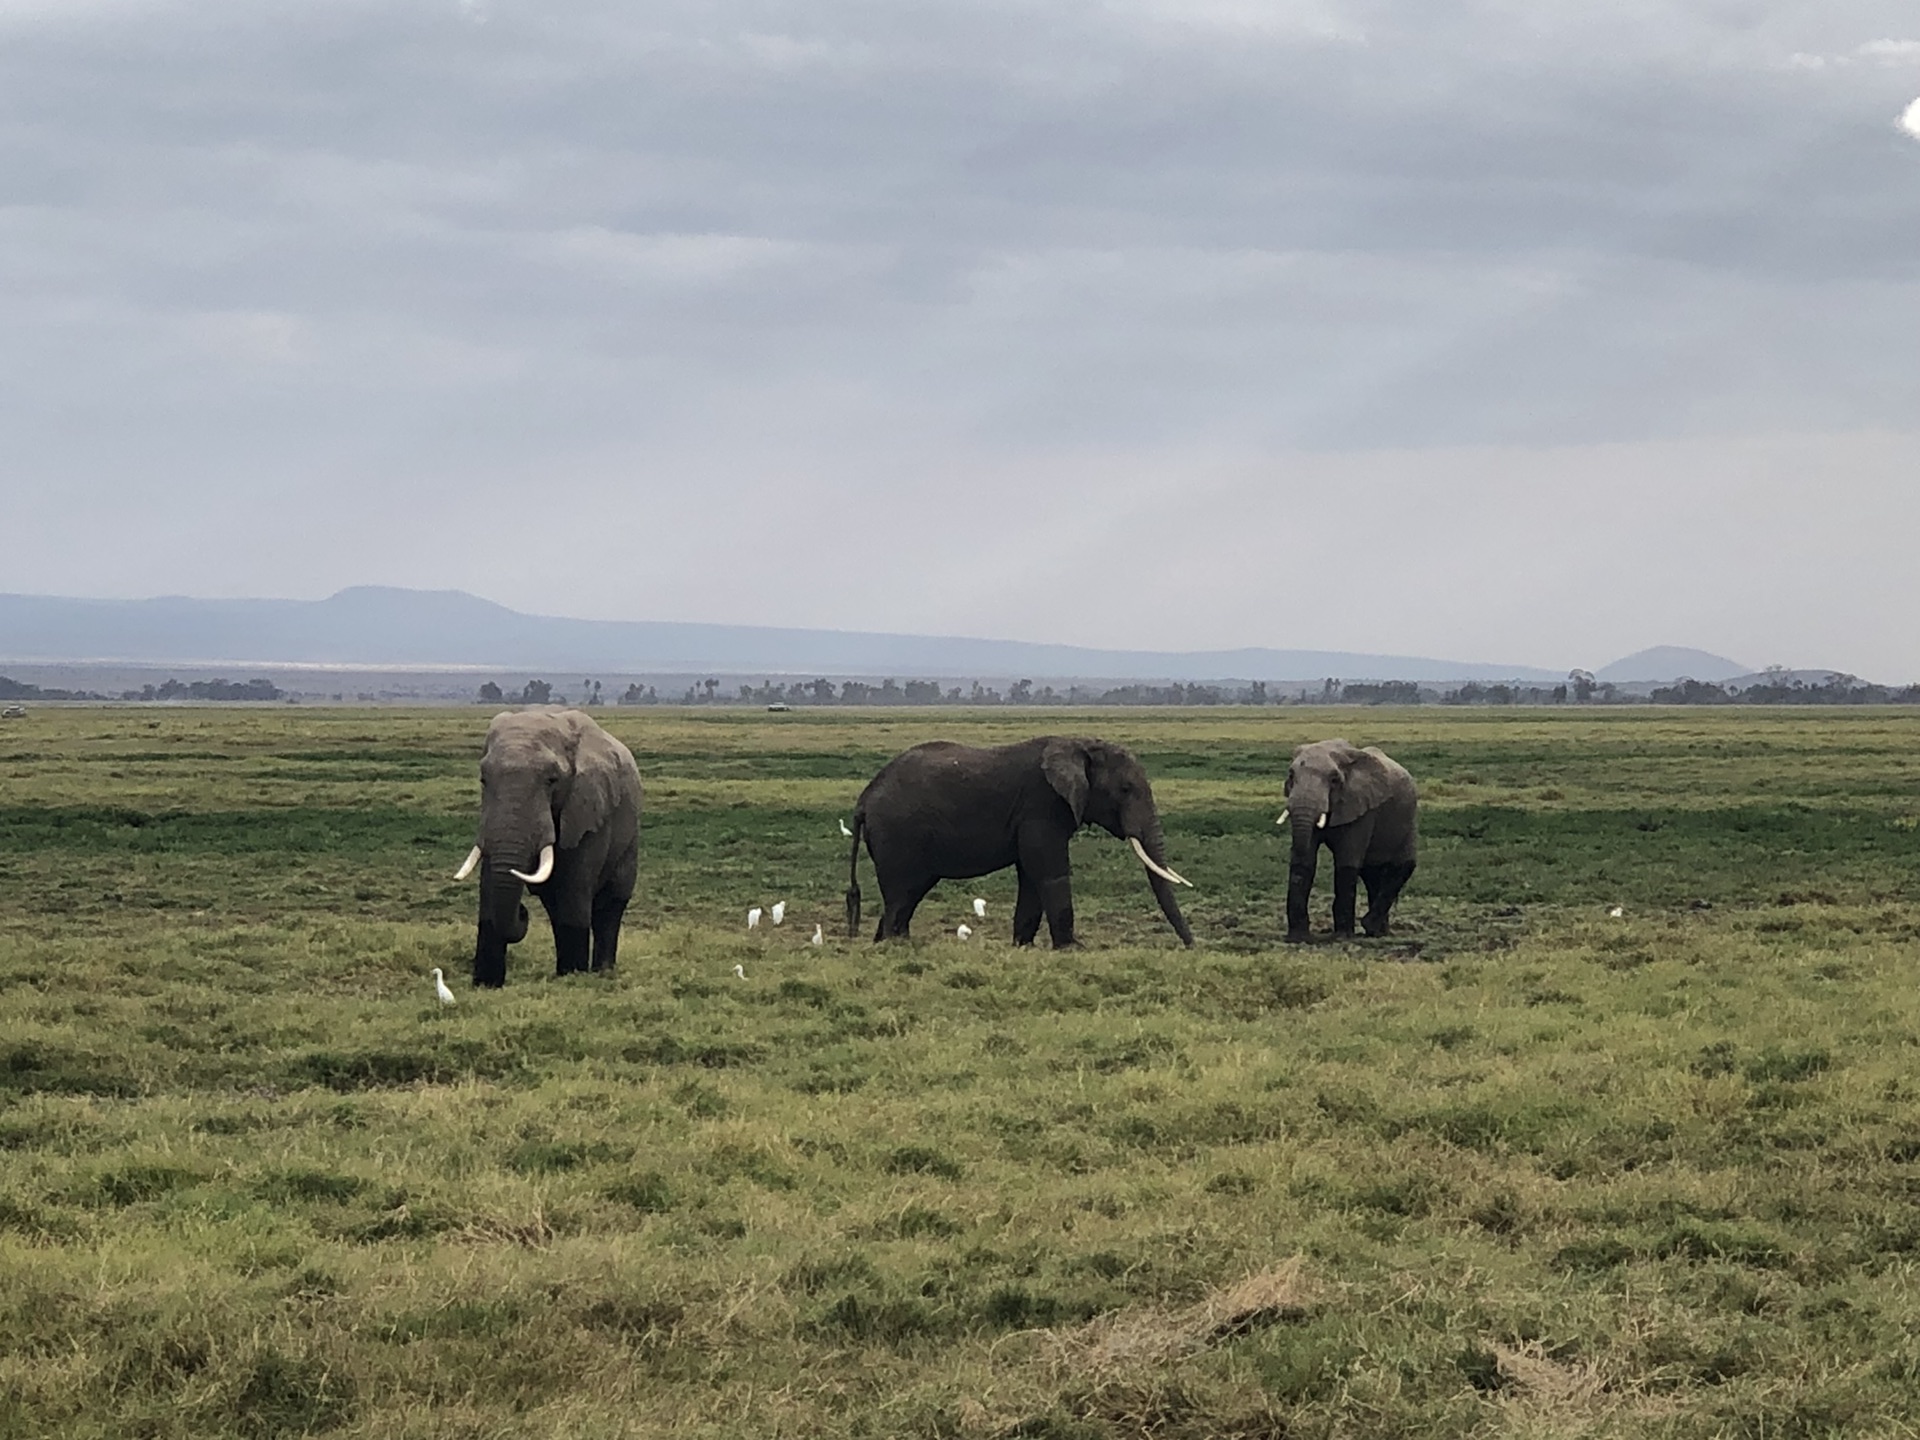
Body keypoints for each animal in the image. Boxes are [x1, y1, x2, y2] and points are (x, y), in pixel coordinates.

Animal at [451, 714, 645, 990]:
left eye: (552, 781)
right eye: (483, 780)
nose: (523, 912)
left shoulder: (587, 809)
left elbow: (574, 890)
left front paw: (573, 977)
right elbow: (489, 883)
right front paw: (486, 985)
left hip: (629, 838)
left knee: (609, 905)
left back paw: (601, 972)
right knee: (555, 907)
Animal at [848, 737, 1190, 952]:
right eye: (1125, 789)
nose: (1191, 947)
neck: (1079, 744)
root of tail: (863, 800)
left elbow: (1031, 878)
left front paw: (1024, 947)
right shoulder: (1041, 806)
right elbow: (1049, 873)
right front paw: (1073, 949)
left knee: (907, 895)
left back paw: (888, 945)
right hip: (897, 836)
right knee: (901, 894)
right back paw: (898, 946)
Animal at [1282, 744, 1420, 948]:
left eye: (1334, 779)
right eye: (1291, 775)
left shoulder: (1362, 807)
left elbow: (1346, 863)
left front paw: (1341, 937)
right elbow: (1305, 861)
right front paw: (1298, 939)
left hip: (1408, 819)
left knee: (1404, 867)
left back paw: (1371, 928)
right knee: (1371, 873)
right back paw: (1377, 932)